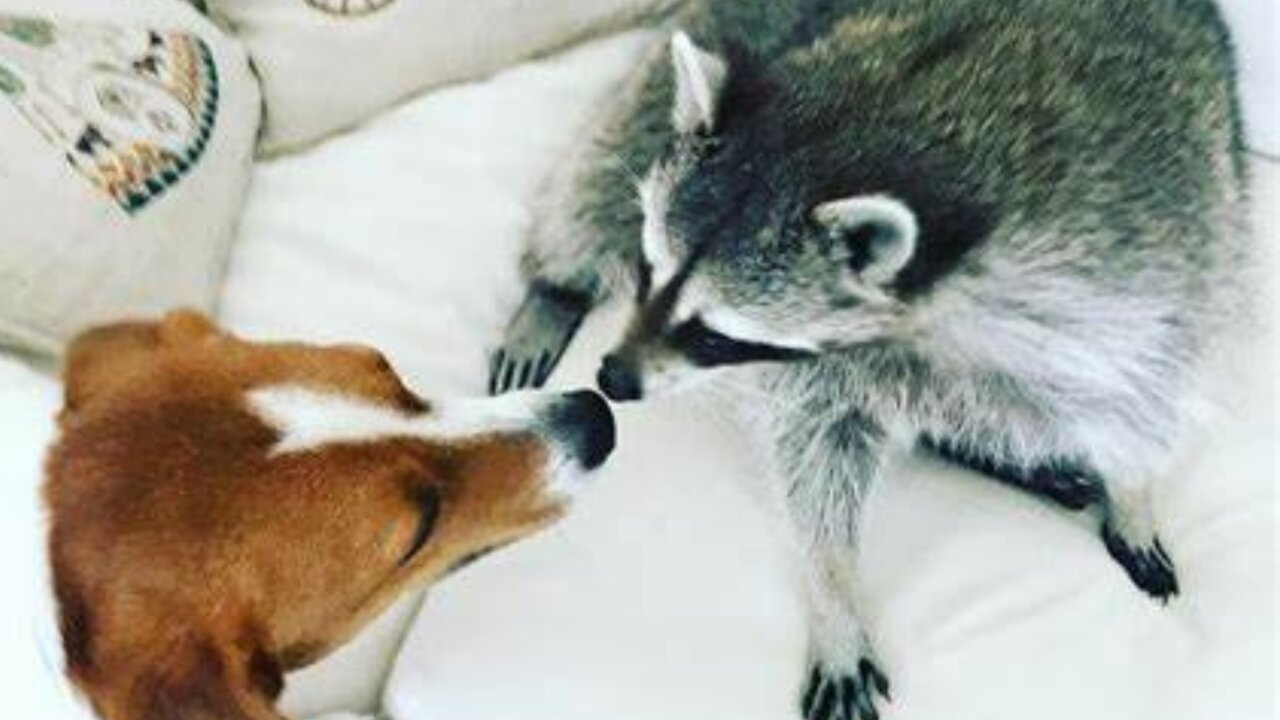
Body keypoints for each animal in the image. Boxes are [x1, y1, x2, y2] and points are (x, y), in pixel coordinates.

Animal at [486, 2, 1249, 712]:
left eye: (712, 333)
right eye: (647, 271)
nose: (613, 377)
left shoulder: (1149, 258)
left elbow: (1145, 383)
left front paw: (1134, 491)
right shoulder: (822, 365)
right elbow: (815, 451)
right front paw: (834, 592)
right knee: (604, 171)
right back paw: (555, 285)